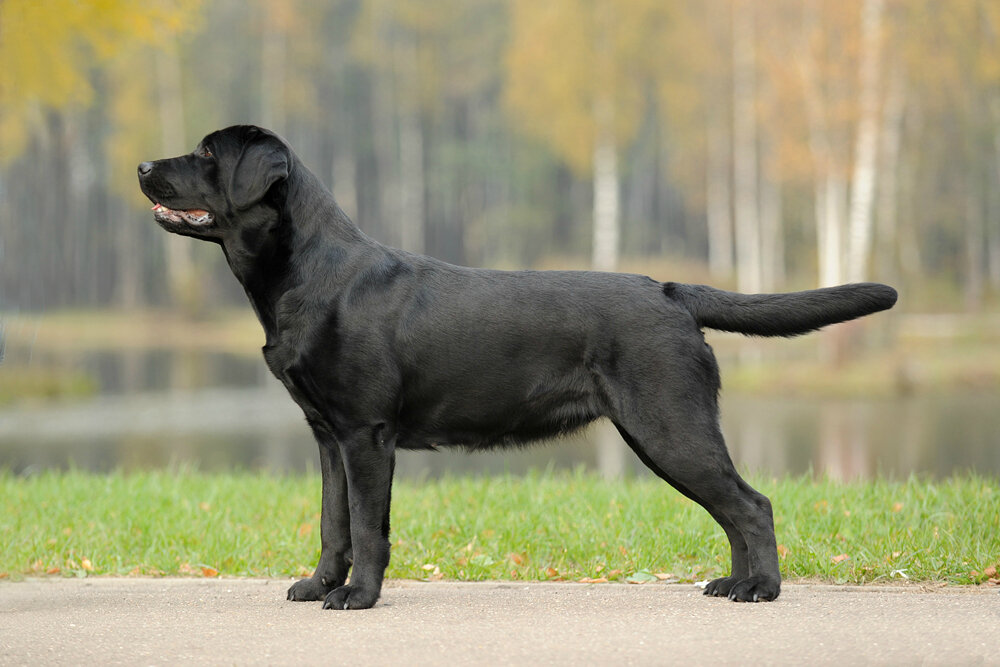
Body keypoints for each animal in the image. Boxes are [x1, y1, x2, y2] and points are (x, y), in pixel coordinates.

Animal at [137, 125, 896, 612]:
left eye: (206, 153)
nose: (142, 166)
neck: (309, 274)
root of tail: (671, 290)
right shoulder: (328, 435)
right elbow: (332, 523)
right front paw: (319, 584)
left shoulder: (367, 434)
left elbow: (368, 526)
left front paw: (358, 597)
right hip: (666, 431)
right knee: (735, 509)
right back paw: (734, 584)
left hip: (669, 425)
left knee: (751, 504)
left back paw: (760, 590)